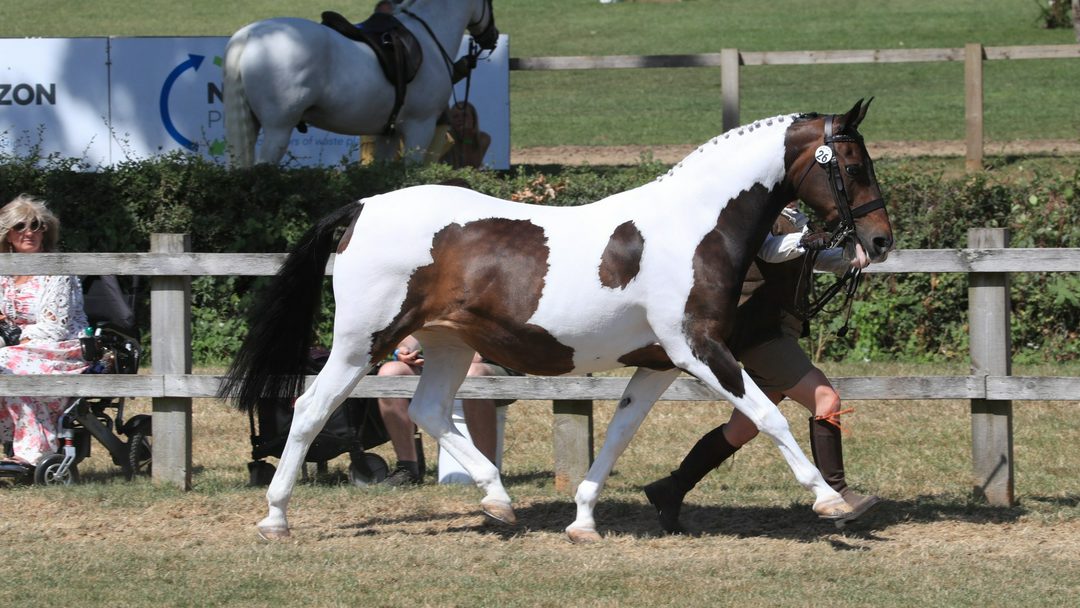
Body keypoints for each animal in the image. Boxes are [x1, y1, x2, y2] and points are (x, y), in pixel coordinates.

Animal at [220, 99, 894, 543]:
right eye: (852, 165)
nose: (879, 242)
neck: (695, 226)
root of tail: (361, 205)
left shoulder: (658, 363)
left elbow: (619, 434)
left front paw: (584, 520)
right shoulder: (698, 349)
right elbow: (770, 416)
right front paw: (831, 502)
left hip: (446, 344)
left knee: (428, 410)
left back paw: (498, 502)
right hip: (363, 342)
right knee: (311, 408)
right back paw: (275, 517)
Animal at [222, 0, 497, 167]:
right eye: (490, 3)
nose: (492, 37)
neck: (428, 38)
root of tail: (249, 36)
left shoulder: (387, 133)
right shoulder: (420, 127)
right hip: (278, 128)